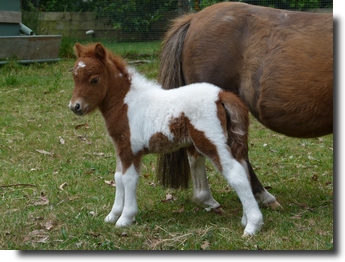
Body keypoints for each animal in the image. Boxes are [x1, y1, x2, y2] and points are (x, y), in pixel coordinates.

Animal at [69, 43, 264, 235]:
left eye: (94, 79)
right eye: (75, 77)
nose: (75, 107)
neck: (125, 103)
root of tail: (221, 95)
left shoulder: (131, 150)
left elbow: (129, 179)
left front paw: (125, 218)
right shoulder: (121, 148)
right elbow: (118, 177)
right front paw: (112, 215)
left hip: (211, 142)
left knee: (236, 174)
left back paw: (253, 225)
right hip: (229, 140)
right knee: (244, 168)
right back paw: (245, 218)